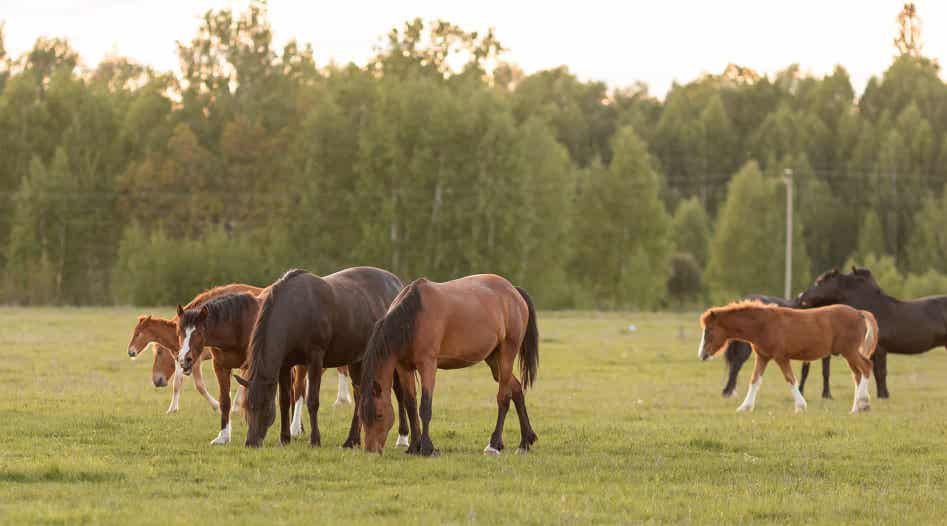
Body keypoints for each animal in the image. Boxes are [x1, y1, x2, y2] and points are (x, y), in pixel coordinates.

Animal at [234, 267, 405, 448]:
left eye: (264, 406)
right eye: (246, 406)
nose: (250, 442)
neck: (296, 311)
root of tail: (397, 284)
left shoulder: (315, 360)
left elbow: (312, 401)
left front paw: (315, 439)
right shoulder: (285, 365)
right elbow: (284, 401)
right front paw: (284, 438)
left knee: (399, 392)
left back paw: (402, 439)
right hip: (357, 360)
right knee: (360, 393)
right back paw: (352, 440)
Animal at [360, 274, 539, 456]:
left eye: (379, 415)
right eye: (361, 416)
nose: (370, 450)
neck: (413, 317)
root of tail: (514, 291)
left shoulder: (428, 365)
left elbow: (425, 407)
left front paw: (427, 448)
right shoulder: (404, 368)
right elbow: (410, 404)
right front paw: (414, 447)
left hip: (506, 355)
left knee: (504, 397)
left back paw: (494, 445)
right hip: (494, 360)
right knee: (516, 389)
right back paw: (524, 442)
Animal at [698, 300, 878, 414]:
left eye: (709, 330)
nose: (702, 355)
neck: (764, 325)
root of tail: (859, 313)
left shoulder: (781, 357)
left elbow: (790, 379)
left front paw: (800, 406)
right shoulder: (763, 357)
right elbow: (755, 381)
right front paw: (744, 407)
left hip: (850, 351)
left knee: (866, 367)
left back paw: (863, 402)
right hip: (848, 354)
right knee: (858, 375)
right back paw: (856, 408)